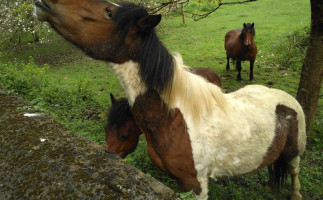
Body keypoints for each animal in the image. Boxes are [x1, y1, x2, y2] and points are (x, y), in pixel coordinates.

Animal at [35, 0, 308, 199]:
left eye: (109, 12)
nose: (45, 2)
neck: (175, 118)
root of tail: (286, 98)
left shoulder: (196, 183)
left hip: (295, 152)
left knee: (294, 171)